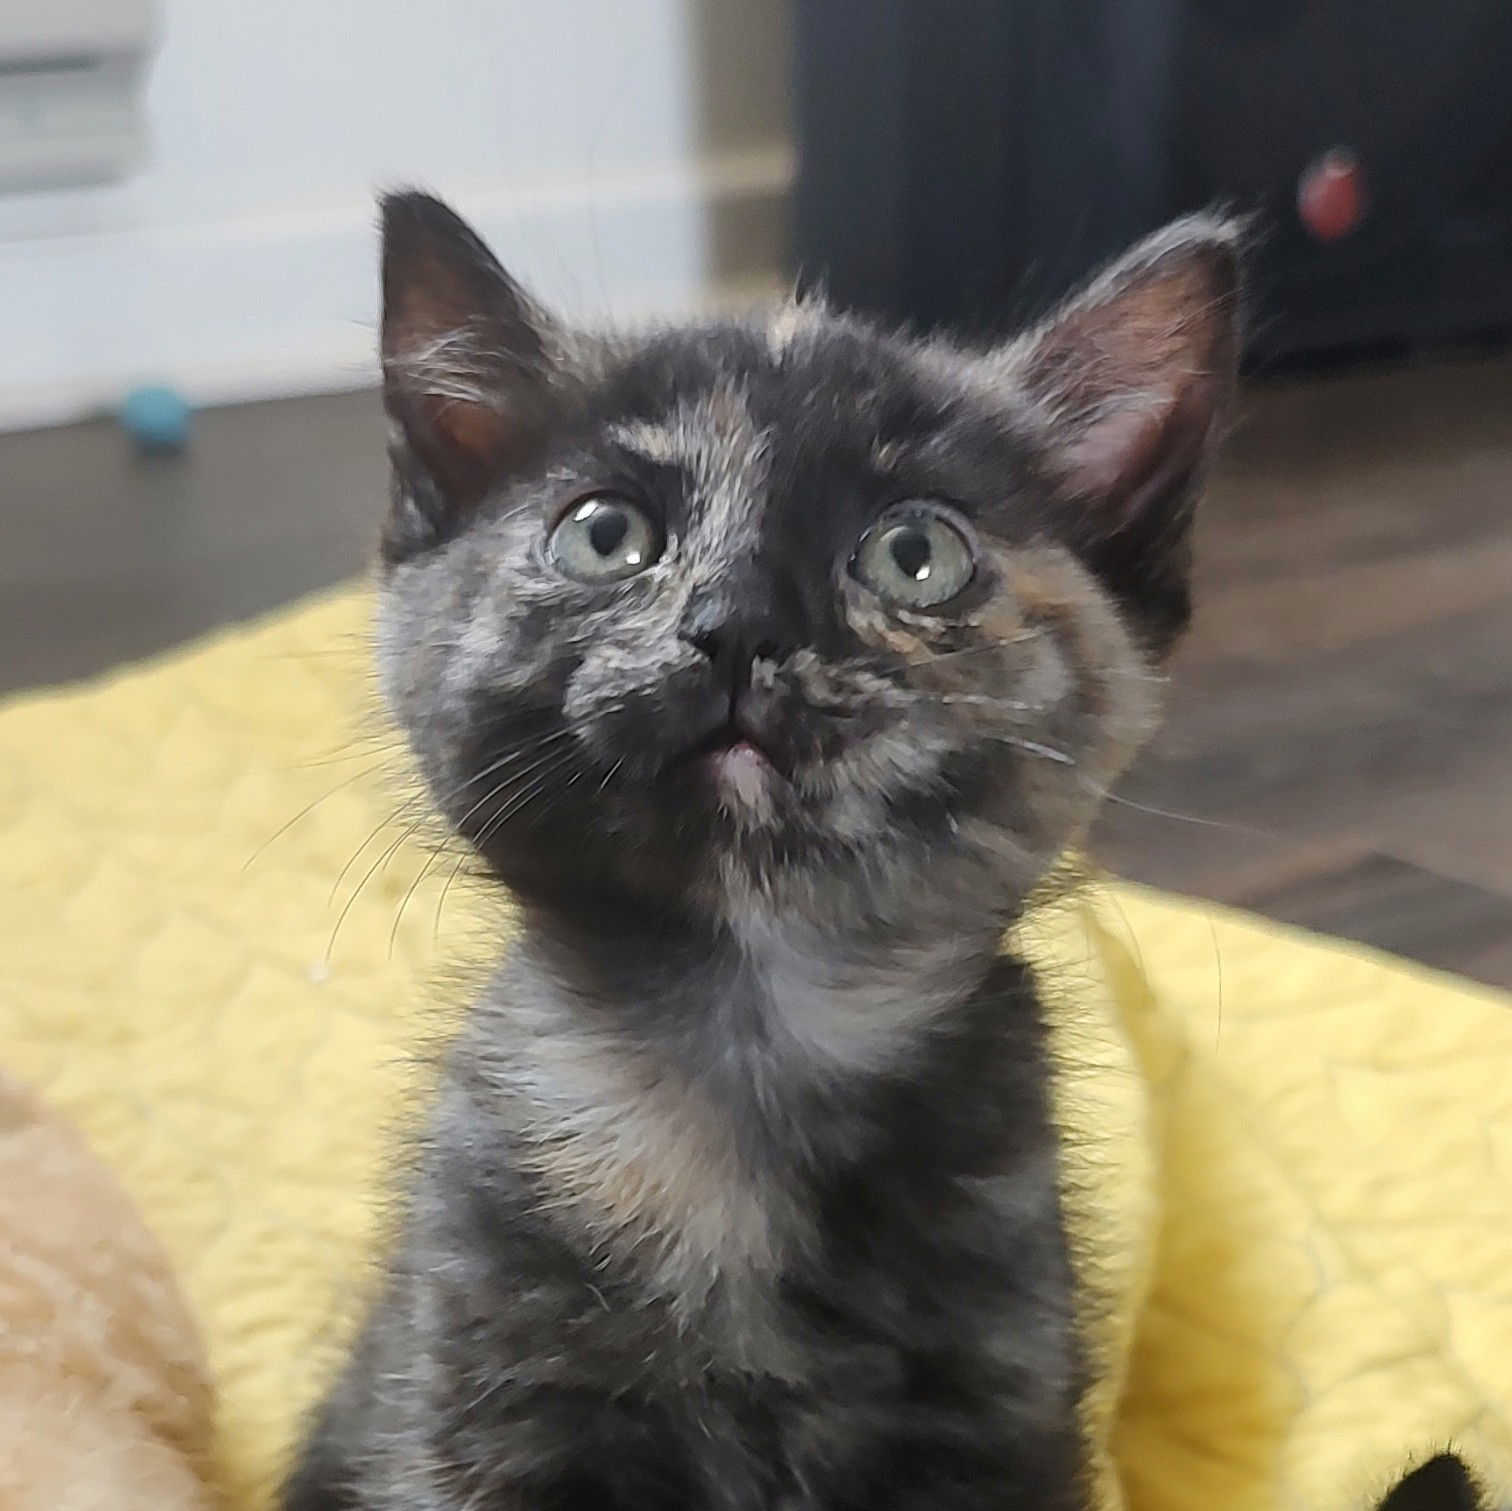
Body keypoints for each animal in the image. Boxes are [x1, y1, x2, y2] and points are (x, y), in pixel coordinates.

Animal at [285, 195, 1239, 1506]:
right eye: (605, 533)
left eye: (915, 553)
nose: (736, 622)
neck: (745, 1047)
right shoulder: (473, 1378)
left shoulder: (1003, 1396)